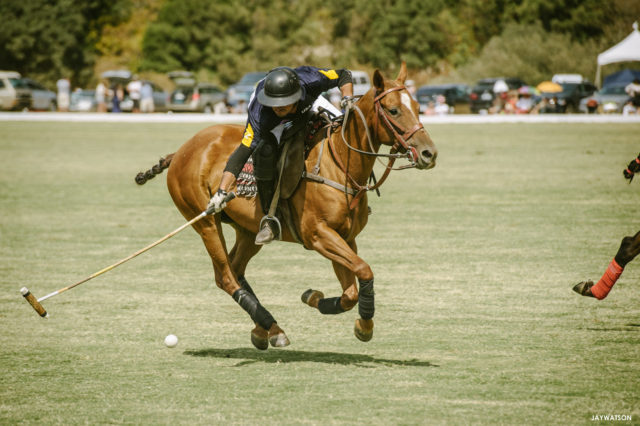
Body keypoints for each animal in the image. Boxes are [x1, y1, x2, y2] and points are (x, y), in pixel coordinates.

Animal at [138, 63, 438, 350]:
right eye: (394, 110)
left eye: (417, 107)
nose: (429, 153)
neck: (340, 163)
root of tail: (181, 151)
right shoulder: (318, 234)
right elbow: (364, 270)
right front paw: (348, 318)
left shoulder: (345, 237)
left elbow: (350, 292)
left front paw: (325, 304)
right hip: (205, 222)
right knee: (225, 276)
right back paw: (269, 325)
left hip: (247, 230)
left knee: (236, 268)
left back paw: (267, 329)